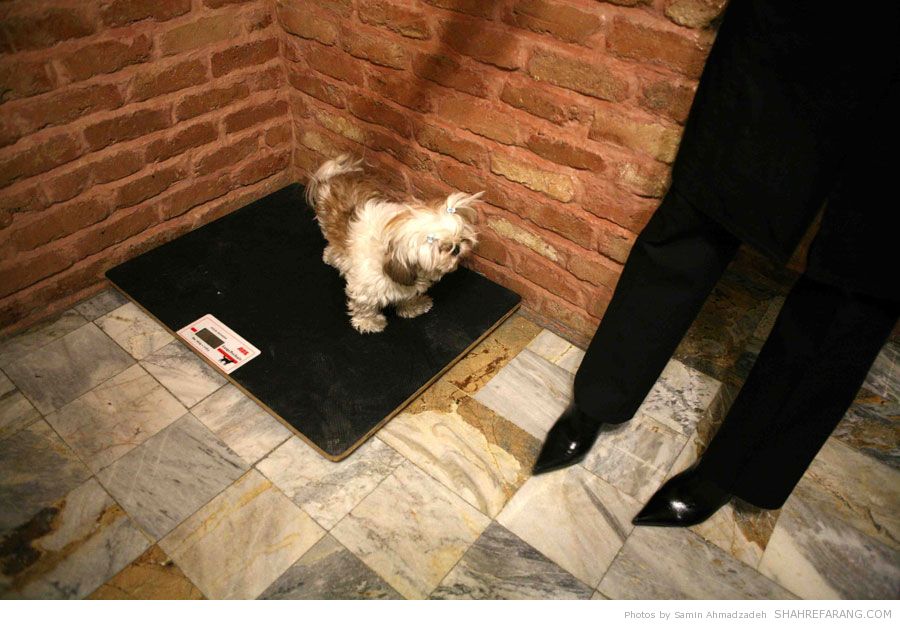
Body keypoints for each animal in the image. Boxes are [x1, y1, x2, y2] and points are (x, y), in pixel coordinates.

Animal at [305, 154, 481, 333]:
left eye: (461, 238)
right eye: (442, 248)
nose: (457, 248)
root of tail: (336, 174)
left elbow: (408, 296)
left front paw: (413, 306)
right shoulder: (364, 288)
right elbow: (364, 306)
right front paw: (369, 322)